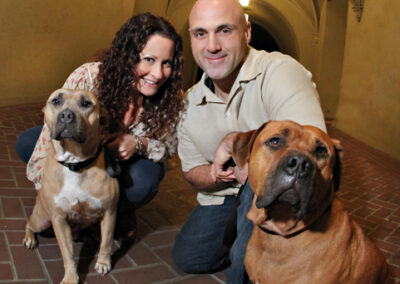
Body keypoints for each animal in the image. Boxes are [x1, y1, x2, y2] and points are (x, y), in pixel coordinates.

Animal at [23, 89, 119, 284]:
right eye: (56, 101)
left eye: (86, 103)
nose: (66, 115)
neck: (75, 164)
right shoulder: (59, 220)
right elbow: (67, 253)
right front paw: (70, 278)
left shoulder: (109, 211)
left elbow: (107, 241)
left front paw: (103, 262)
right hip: (41, 219)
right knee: (29, 224)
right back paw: (29, 238)